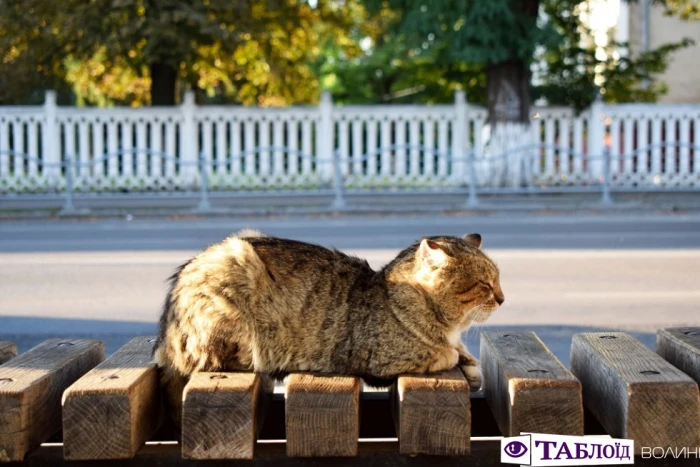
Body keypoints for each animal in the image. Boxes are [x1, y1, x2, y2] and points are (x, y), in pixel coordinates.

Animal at [153, 230, 504, 428]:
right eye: (485, 284)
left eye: (498, 280)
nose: (502, 298)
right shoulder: (384, 360)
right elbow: (443, 353)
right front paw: (457, 358)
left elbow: (461, 352)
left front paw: (470, 365)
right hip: (234, 280)